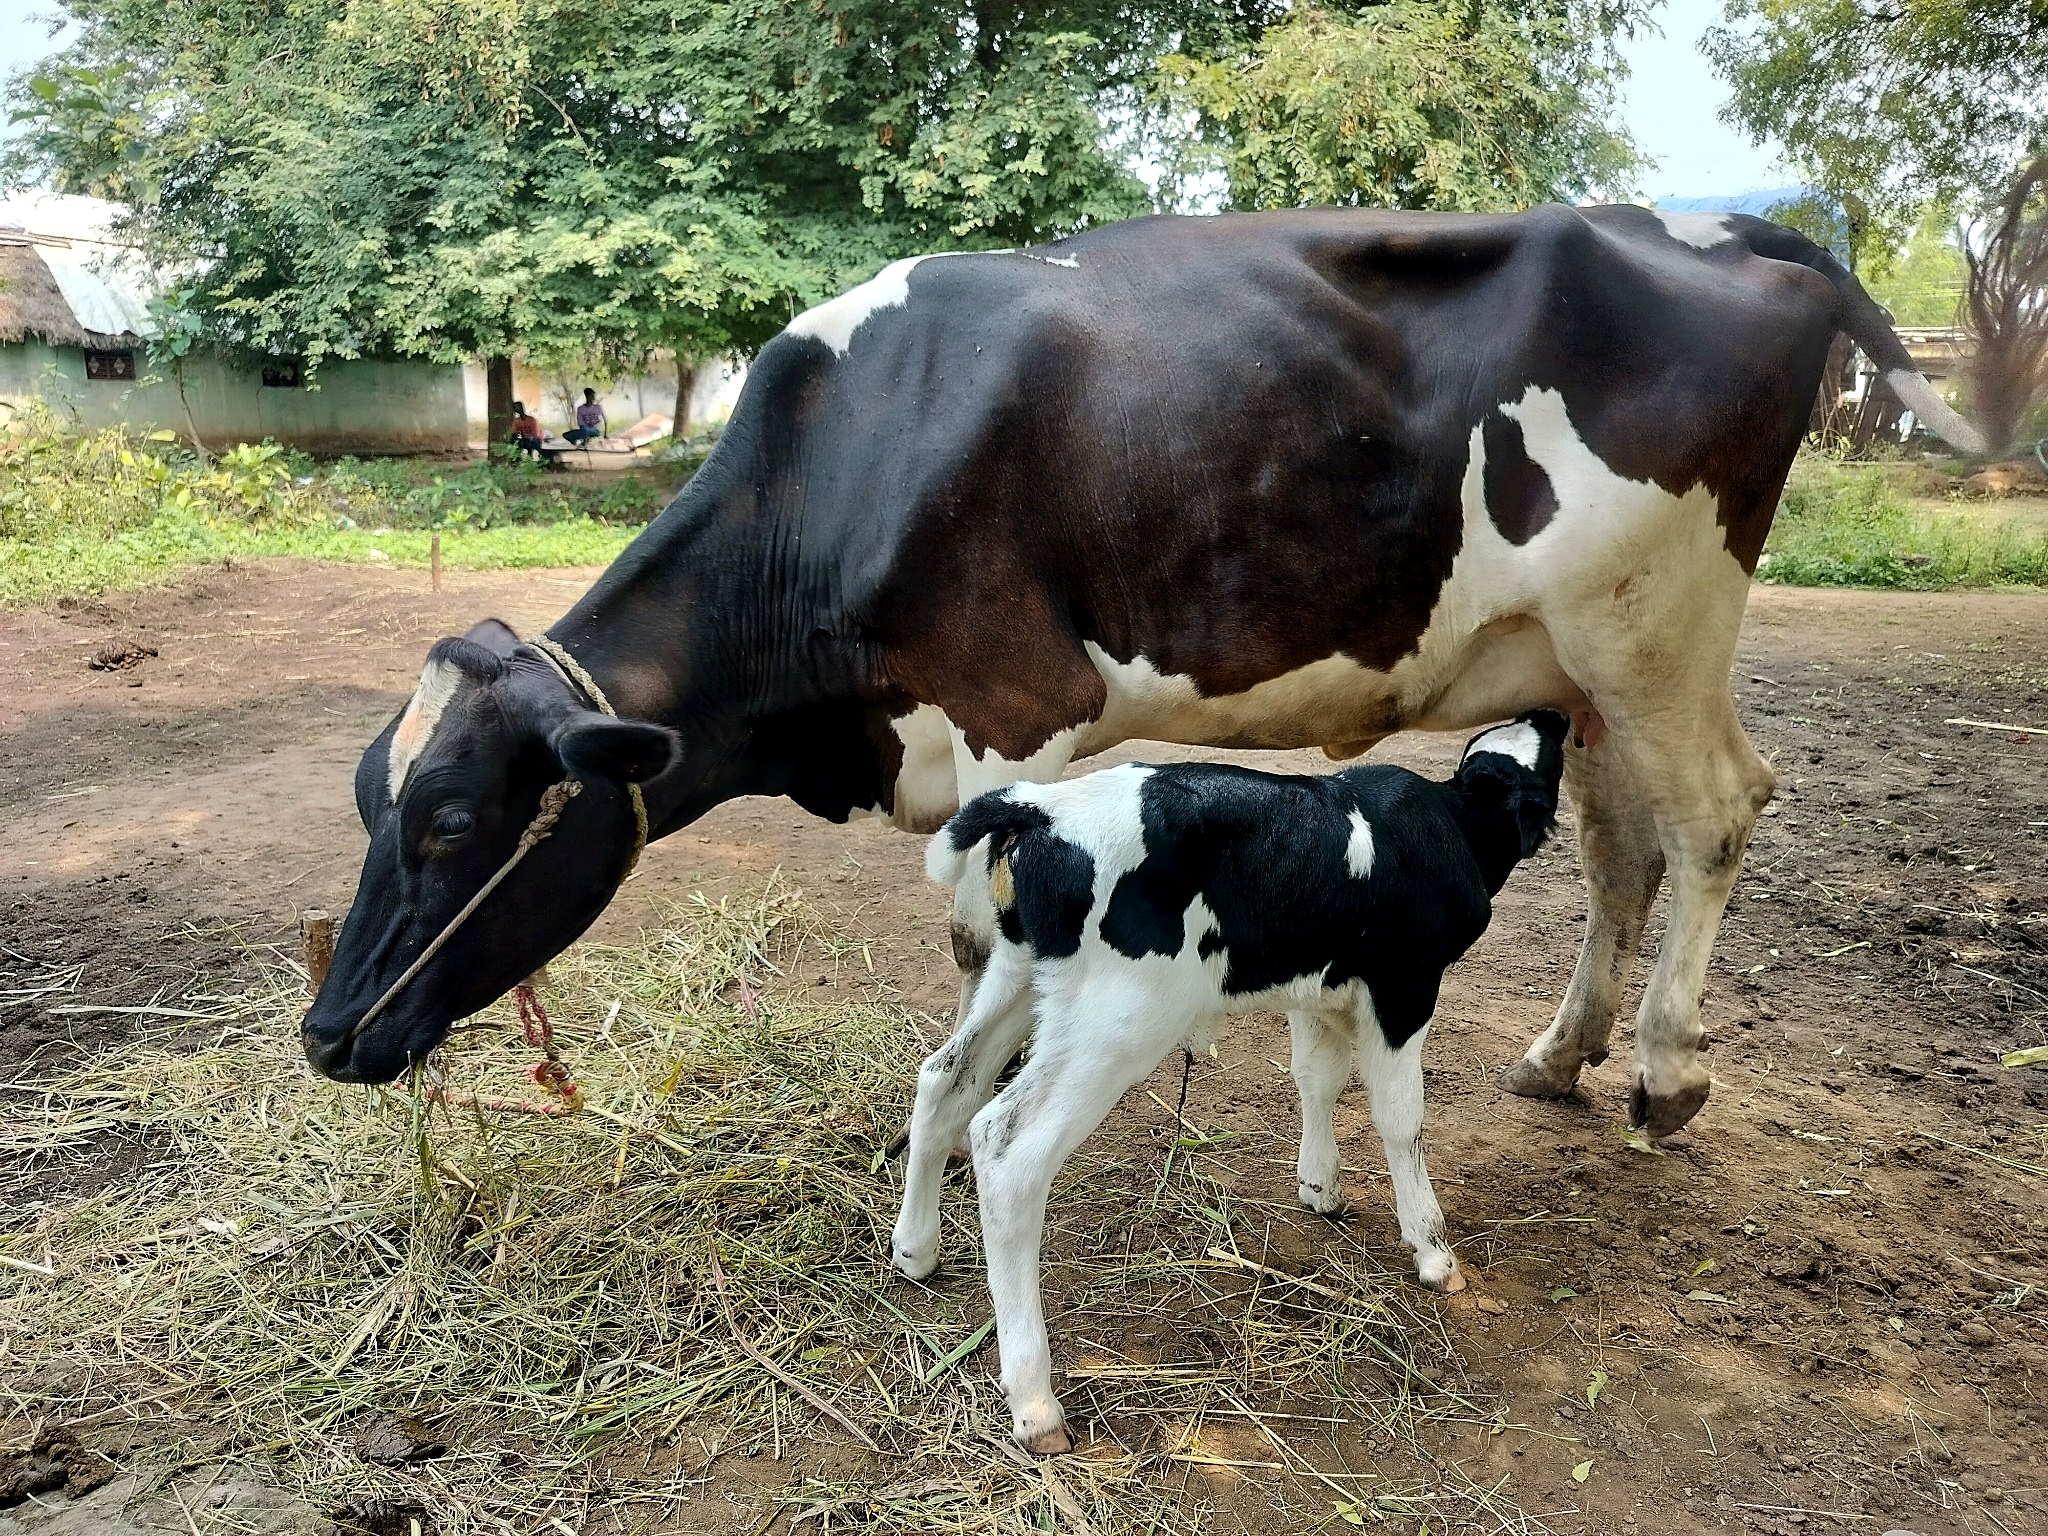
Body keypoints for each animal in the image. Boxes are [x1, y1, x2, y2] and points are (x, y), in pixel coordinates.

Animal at [300, 203, 1982, 1145]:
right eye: (375, 798)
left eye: (452, 819)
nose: (325, 1035)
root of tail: (1728, 229)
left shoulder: (1012, 727)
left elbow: (985, 949)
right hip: (1578, 660)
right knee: (1623, 848)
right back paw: (1562, 1058)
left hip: (1657, 616)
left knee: (1716, 814)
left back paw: (1668, 1076)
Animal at [905, 714, 1571, 1450]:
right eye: (1555, 762)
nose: (1558, 715)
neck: (1446, 821)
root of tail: (1040, 806)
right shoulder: (1405, 988)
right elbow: (1401, 1118)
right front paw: (1431, 1249)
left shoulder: (1319, 989)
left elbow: (1316, 1078)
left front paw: (1320, 1187)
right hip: (1120, 1019)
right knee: (1007, 1150)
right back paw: (1034, 1400)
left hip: (1019, 975)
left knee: (945, 1079)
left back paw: (914, 1250)